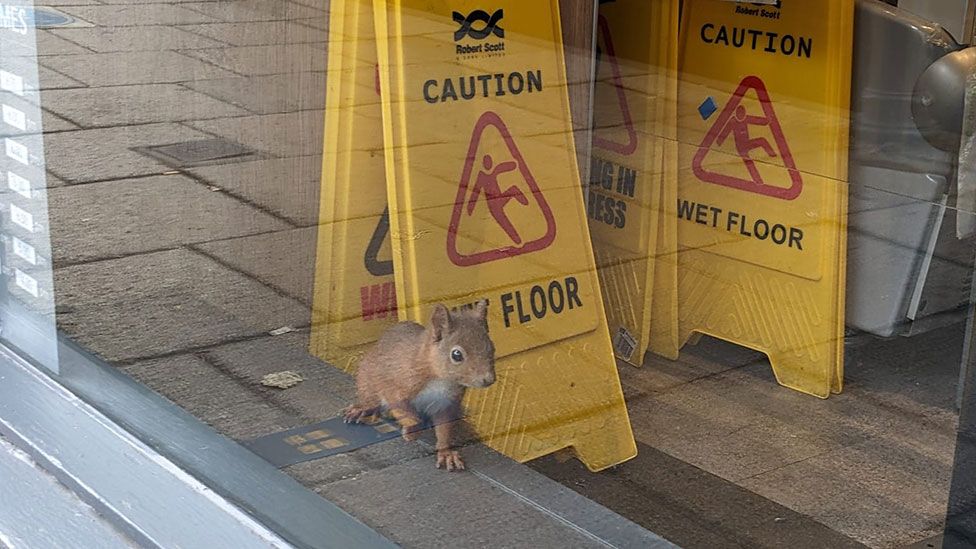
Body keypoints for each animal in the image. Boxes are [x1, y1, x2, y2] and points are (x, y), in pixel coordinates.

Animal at [344, 300, 496, 470]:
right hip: (367, 378)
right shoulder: (399, 383)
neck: (440, 379)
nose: (488, 379)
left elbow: (444, 429)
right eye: (457, 355)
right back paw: (363, 410)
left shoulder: (446, 403)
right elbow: (404, 409)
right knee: (371, 399)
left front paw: (446, 453)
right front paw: (412, 432)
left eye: (491, 347)